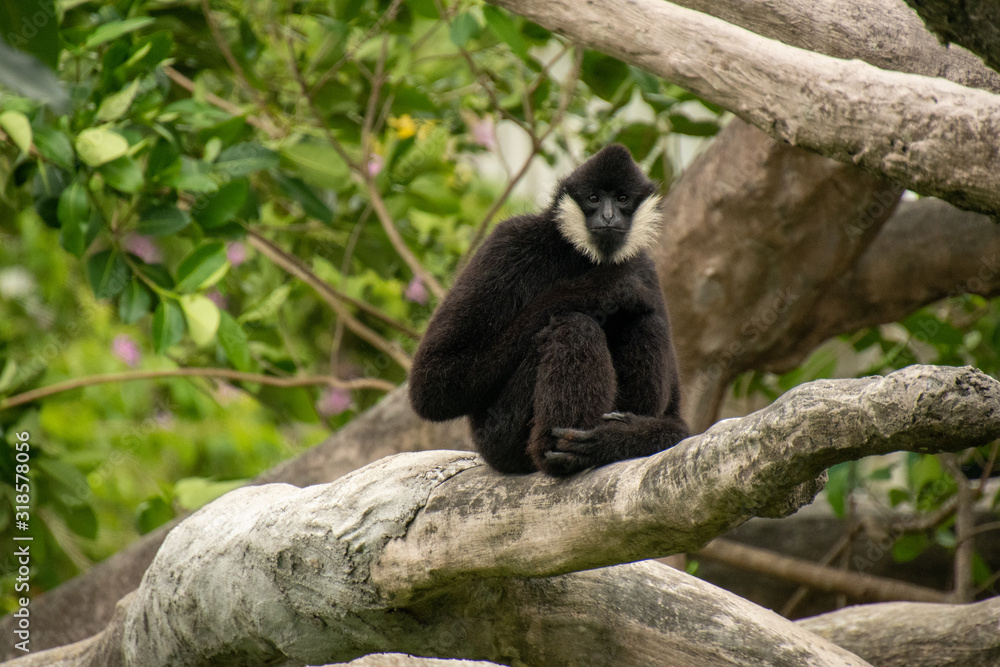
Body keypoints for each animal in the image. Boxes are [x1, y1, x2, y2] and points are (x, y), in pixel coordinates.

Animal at [408, 144, 689, 476]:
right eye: (594, 198)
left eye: (622, 199)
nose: (608, 215)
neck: (580, 253)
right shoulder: (509, 240)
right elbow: (433, 385)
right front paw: (604, 286)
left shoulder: (645, 267)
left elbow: (675, 418)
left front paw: (616, 438)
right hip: (499, 435)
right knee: (575, 326)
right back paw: (557, 455)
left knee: (645, 321)